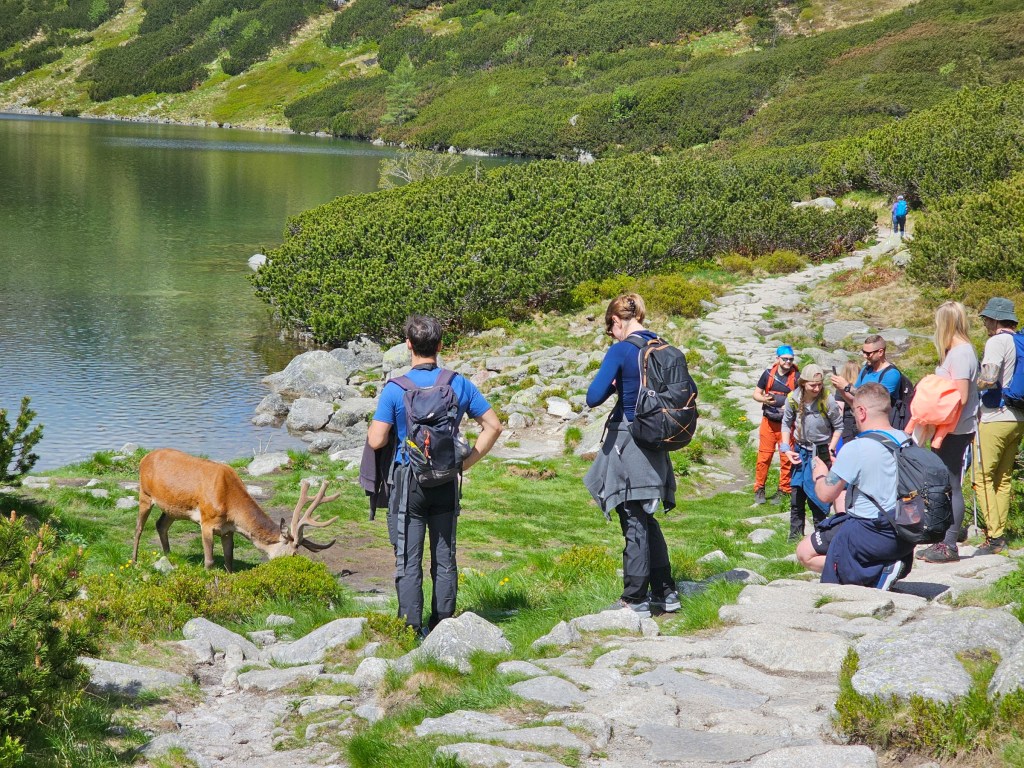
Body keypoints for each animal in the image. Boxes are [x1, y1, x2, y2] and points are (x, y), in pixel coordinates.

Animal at [132, 448, 340, 572]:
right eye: (293, 553)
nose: (295, 568)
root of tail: (144, 458)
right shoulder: (206, 521)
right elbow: (209, 561)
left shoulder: (227, 529)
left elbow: (229, 558)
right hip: (145, 495)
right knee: (139, 528)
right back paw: (134, 560)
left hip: (172, 508)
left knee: (161, 525)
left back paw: (168, 556)